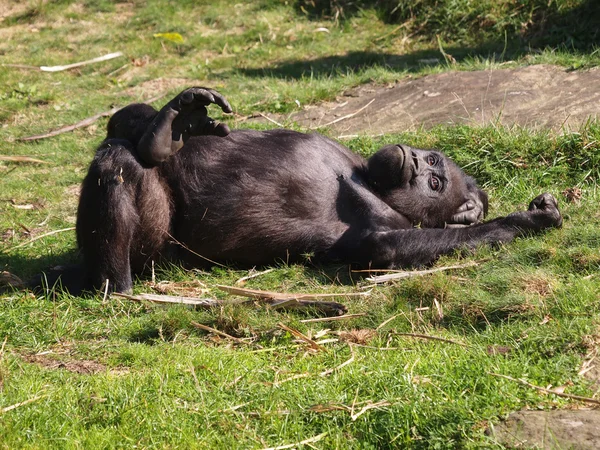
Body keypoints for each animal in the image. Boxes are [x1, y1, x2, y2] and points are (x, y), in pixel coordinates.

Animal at [68, 87, 560, 296]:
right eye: (435, 163)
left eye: (436, 184)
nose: (418, 162)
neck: (365, 177)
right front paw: (181, 121)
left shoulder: (384, 221)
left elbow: (383, 248)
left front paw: (528, 220)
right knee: (124, 147)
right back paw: (164, 132)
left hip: (157, 255)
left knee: (120, 162)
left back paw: (113, 283)